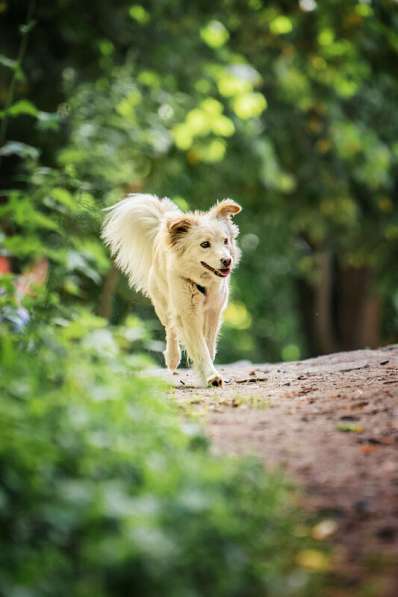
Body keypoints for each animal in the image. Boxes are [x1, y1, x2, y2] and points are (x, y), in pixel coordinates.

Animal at [101, 192, 241, 386]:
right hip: (163, 304)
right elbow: (199, 346)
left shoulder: (214, 311)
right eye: (205, 244)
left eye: (225, 241)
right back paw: (173, 358)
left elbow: (208, 343)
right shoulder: (187, 311)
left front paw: (207, 368)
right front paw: (210, 375)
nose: (227, 261)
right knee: (171, 328)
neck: (202, 283)